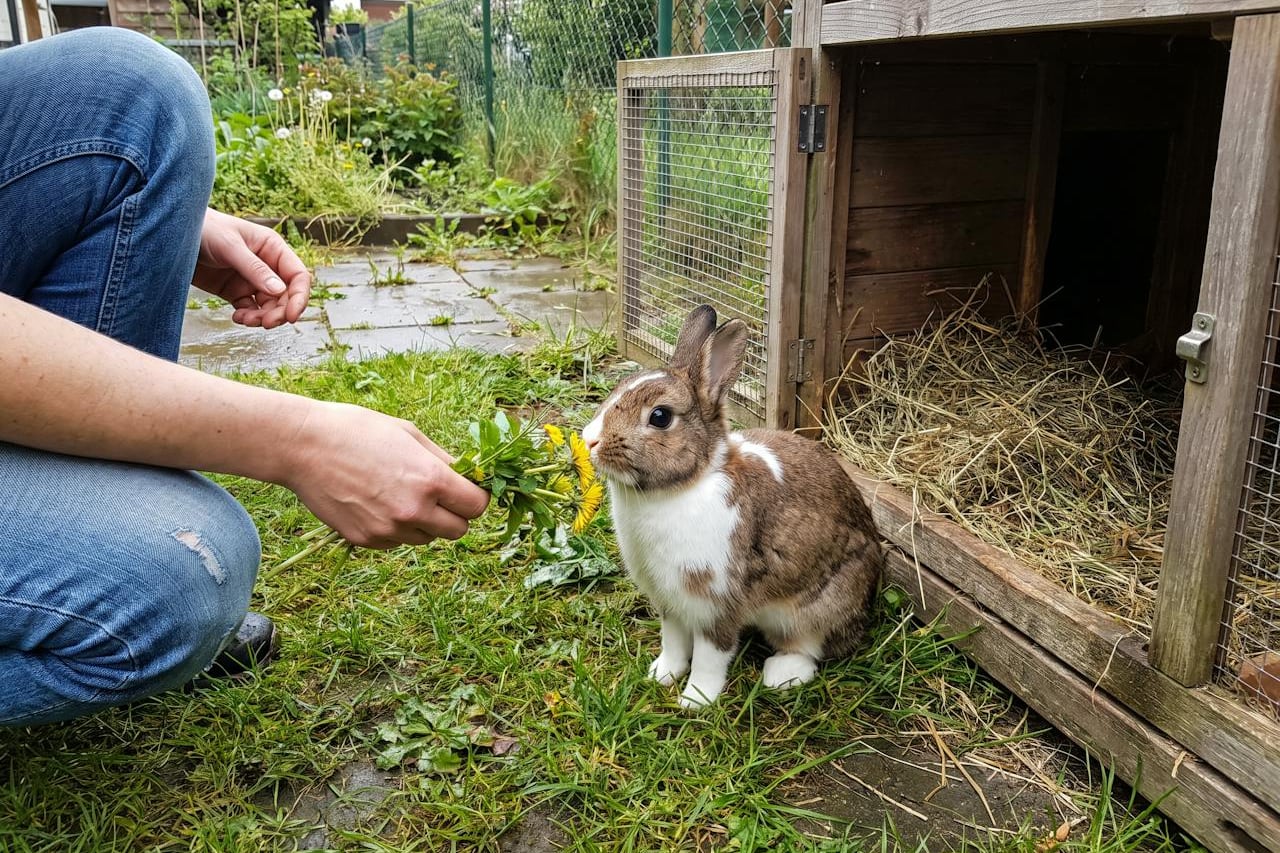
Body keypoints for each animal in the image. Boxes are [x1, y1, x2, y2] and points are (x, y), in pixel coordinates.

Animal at [582, 305, 882, 708]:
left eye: (660, 417)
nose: (589, 440)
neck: (682, 487)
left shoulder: (717, 602)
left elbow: (711, 656)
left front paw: (695, 701)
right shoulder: (669, 602)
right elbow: (673, 642)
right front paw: (662, 674)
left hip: (820, 605)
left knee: (812, 649)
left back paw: (780, 675)